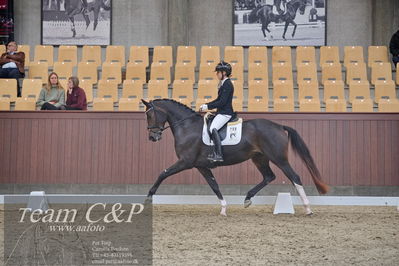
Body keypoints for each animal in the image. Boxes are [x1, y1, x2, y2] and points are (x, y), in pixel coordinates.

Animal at [142, 98, 330, 215]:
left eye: (149, 114)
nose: (152, 137)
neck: (187, 126)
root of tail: (278, 126)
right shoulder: (201, 166)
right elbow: (214, 185)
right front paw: (224, 208)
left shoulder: (185, 162)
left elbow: (163, 173)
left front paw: (148, 198)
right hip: (259, 158)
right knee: (269, 176)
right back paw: (247, 199)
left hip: (279, 159)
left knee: (294, 177)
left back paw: (308, 209)